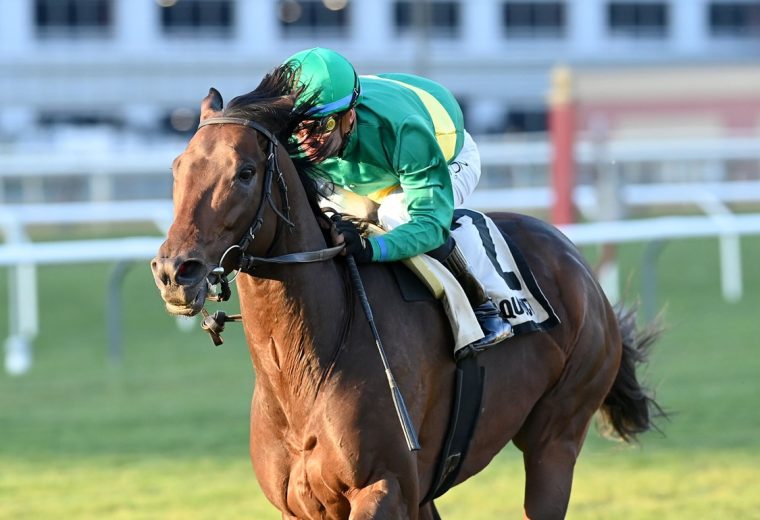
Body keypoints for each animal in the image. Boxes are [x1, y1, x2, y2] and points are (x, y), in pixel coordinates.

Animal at [151, 66, 664, 520]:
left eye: (245, 172)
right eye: (177, 167)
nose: (175, 271)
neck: (303, 370)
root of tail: (576, 262)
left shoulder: (385, 488)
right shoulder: (302, 506)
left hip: (556, 438)